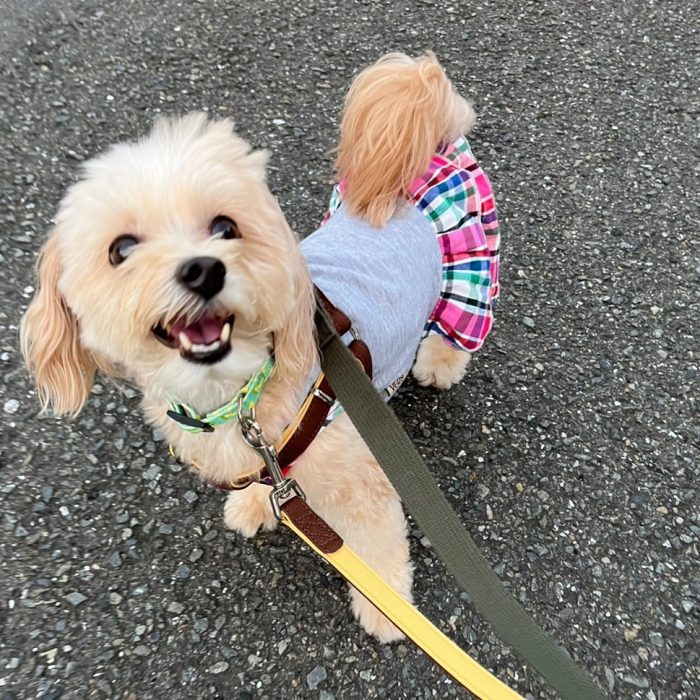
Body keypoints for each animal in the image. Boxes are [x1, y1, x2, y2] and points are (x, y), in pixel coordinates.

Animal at [20, 50, 492, 640]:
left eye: (225, 227)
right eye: (121, 248)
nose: (202, 269)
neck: (237, 395)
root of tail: (427, 147)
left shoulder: (363, 483)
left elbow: (380, 548)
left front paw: (388, 614)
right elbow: (264, 481)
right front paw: (253, 505)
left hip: (472, 262)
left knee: (460, 322)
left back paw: (439, 362)